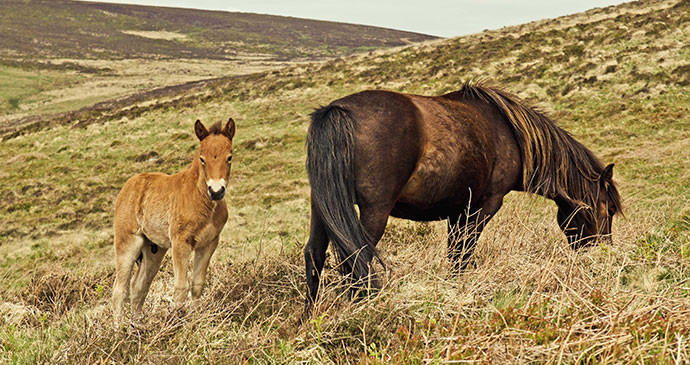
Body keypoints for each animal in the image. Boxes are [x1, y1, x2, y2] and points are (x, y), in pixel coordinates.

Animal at [110, 117, 234, 322]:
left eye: (229, 157)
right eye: (202, 159)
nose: (216, 191)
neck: (200, 199)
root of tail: (129, 185)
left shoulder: (209, 244)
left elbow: (197, 284)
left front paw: (196, 319)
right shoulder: (180, 243)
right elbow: (181, 287)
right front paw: (177, 321)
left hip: (154, 250)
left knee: (139, 287)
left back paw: (137, 325)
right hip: (127, 243)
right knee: (120, 290)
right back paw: (119, 328)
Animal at [304, 82, 620, 316]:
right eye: (607, 209)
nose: (603, 255)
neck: (511, 134)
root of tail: (337, 110)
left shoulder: (457, 210)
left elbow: (455, 253)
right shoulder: (484, 206)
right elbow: (463, 254)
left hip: (323, 208)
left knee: (315, 254)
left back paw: (309, 317)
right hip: (374, 211)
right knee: (357, 257)